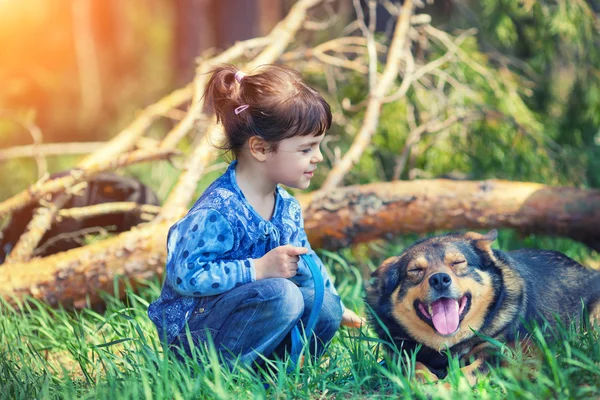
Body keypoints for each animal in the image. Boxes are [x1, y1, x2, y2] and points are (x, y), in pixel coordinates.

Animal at [366, 231, 600, 384]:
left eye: (458, 263)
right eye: (415, 270)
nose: (439, 279)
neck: (448, 345)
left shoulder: (503, 352)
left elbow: (466, 372)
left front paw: (444, 388)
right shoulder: (398, 354)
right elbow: (413, 367)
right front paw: (425, 383)